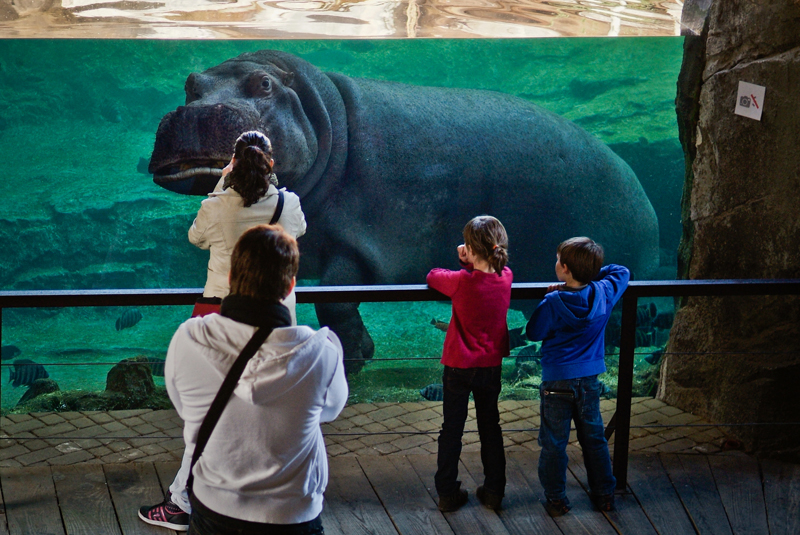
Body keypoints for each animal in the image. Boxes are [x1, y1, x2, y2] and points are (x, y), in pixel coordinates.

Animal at [148, 52, 656, 374]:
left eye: (264, 84)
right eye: (191, 84)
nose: (198, 112)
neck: (324, 118)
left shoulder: (362, 243)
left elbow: (334, 298)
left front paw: (357, 356)